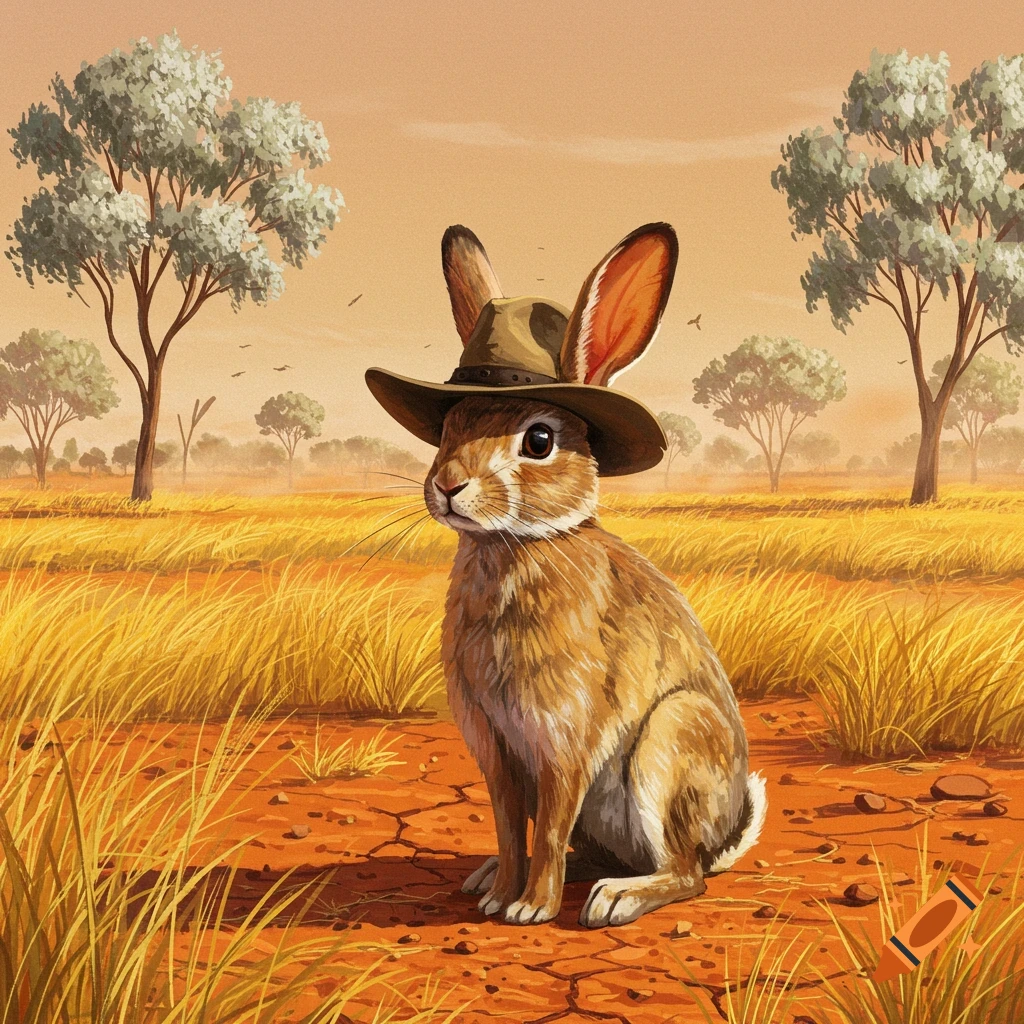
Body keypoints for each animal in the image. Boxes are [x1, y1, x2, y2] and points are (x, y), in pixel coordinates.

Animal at [416, 224, 766, 928]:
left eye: (540, 440)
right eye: (448, 427)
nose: (447, 486)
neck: (517, 546)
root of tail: (725, 835)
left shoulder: (564, 738)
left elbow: (548, 825)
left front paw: (530, 910)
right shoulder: (495, 746)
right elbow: (508, 825)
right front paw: (500, 895)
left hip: (670, 742)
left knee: (686, 874)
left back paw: (618, 898)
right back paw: (499, 877)